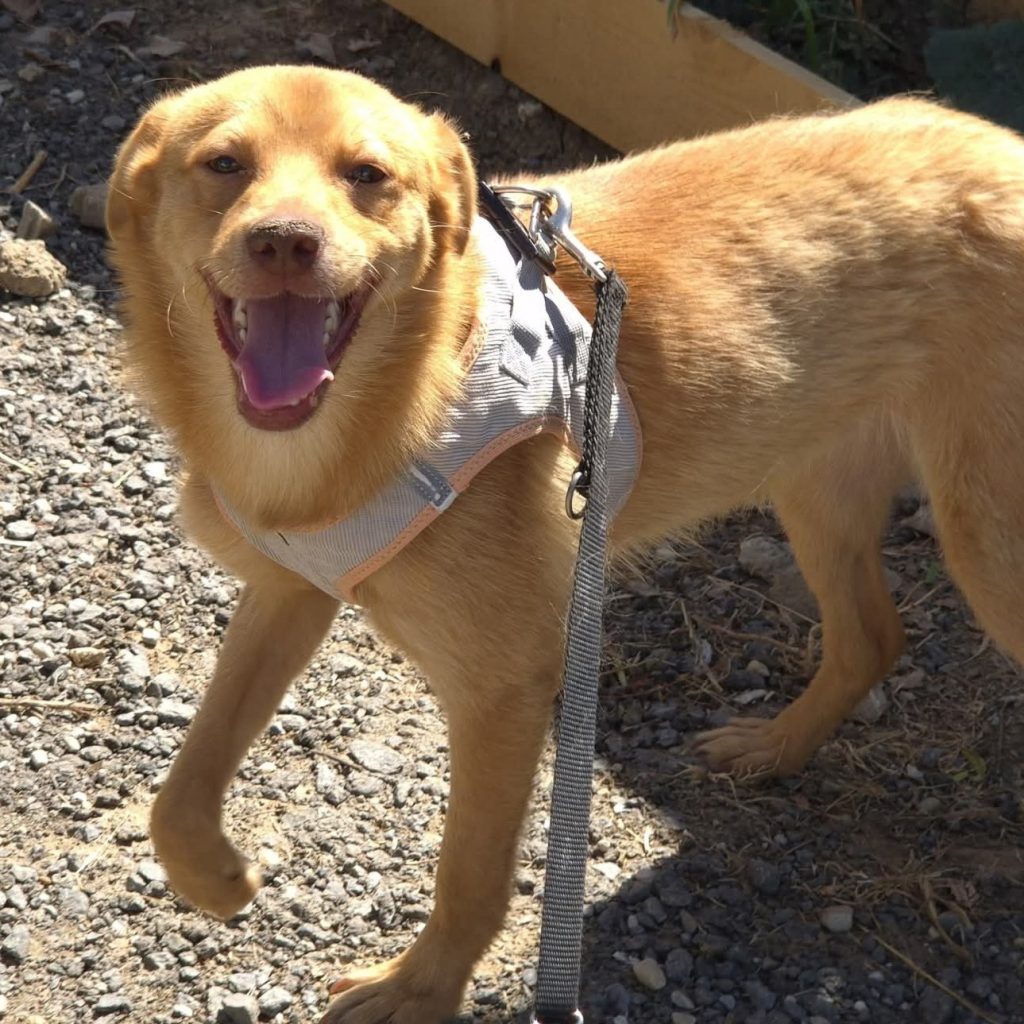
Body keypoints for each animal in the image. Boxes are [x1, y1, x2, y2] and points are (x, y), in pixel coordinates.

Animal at [107, 64, 1024, 1023]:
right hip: (816, 482)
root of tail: (1004, 148)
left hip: (988, 544)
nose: (286, 242)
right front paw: (216, 879)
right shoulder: (294, 588)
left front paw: (423, 989)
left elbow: (469, 876)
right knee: (871, 638)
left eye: (367, 174)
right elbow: (180, 790)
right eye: (223, 163)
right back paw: (774, 749)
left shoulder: (506, 685)